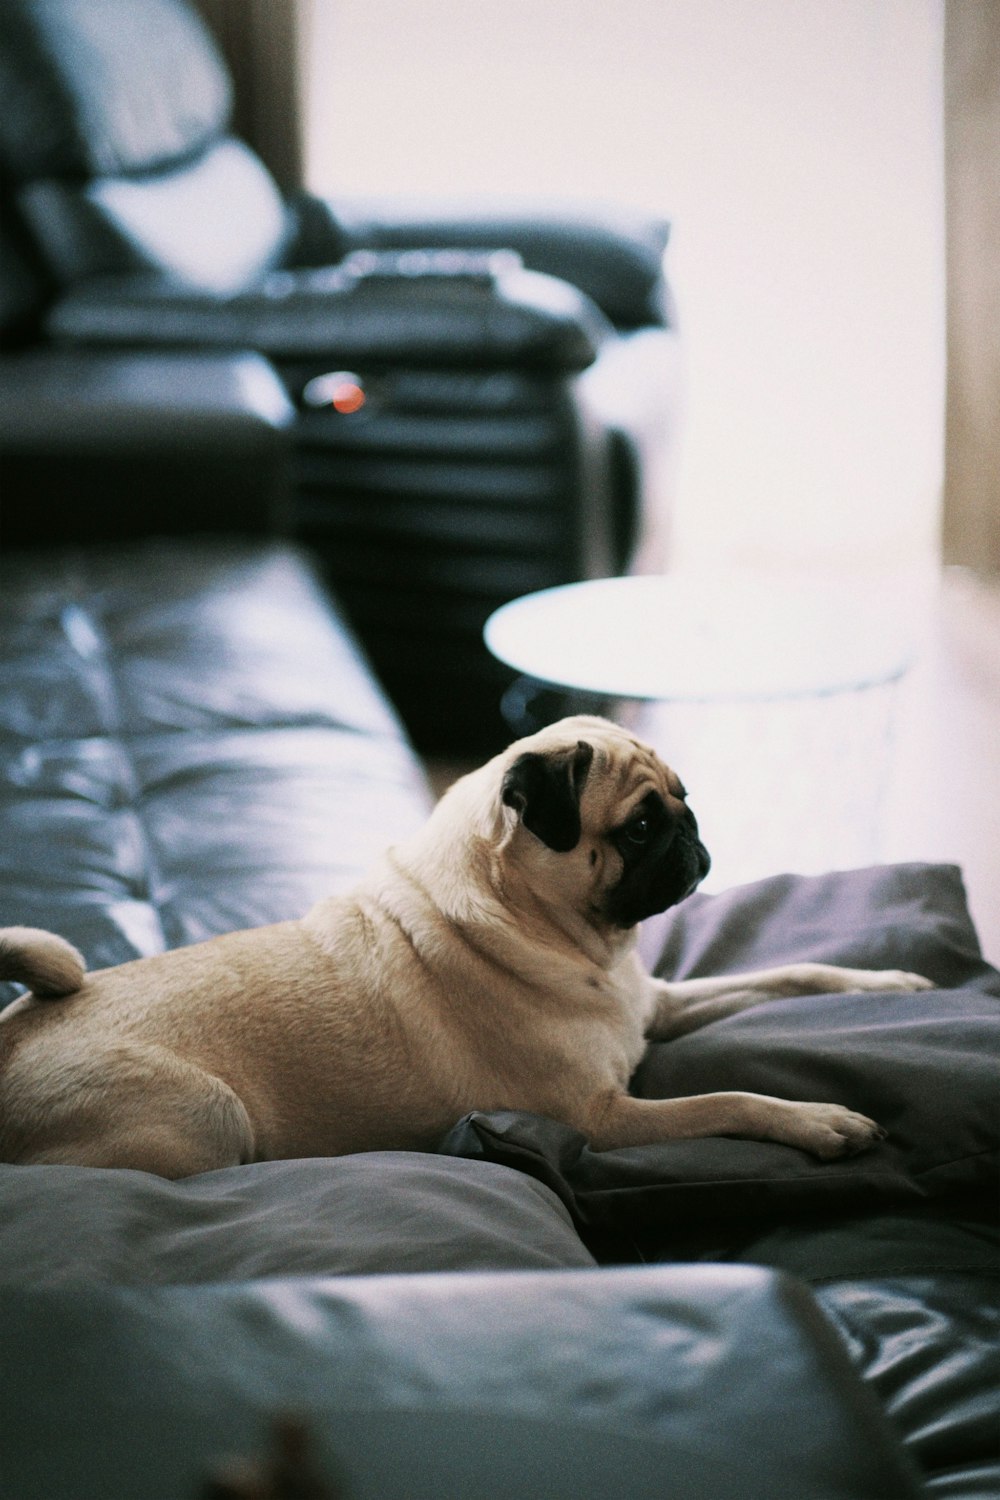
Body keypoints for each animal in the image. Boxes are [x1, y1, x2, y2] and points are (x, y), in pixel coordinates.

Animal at [0, 717, 929, 1182]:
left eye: (683, 798)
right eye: (638, 827)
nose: (692, 833)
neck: (561, 935)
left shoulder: (656, 1002)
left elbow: (790, 972)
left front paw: (885, 981)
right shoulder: (604, 1117)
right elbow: (732, 1099)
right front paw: (820, 1121)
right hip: (206, 1115)